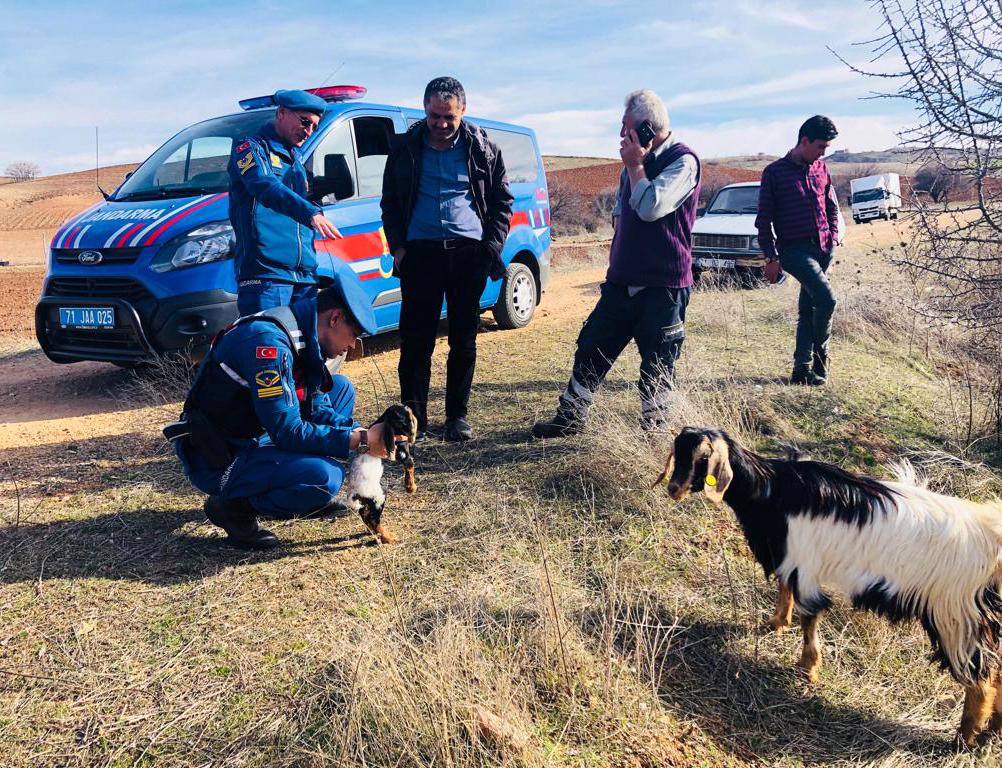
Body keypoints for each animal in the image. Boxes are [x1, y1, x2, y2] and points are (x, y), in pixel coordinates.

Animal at [653, 429, 1002, 749]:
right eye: (677, 452)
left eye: (701, 458)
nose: (672, 489)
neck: (772, 489)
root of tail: (992, 536)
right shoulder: (789, 559)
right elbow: (785, 591)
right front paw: (776, 624)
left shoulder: (804, 564)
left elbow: (810, 616)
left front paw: (807, 670)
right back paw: (992, 730)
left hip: (955, 618)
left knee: (981, 680)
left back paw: (964, 738)